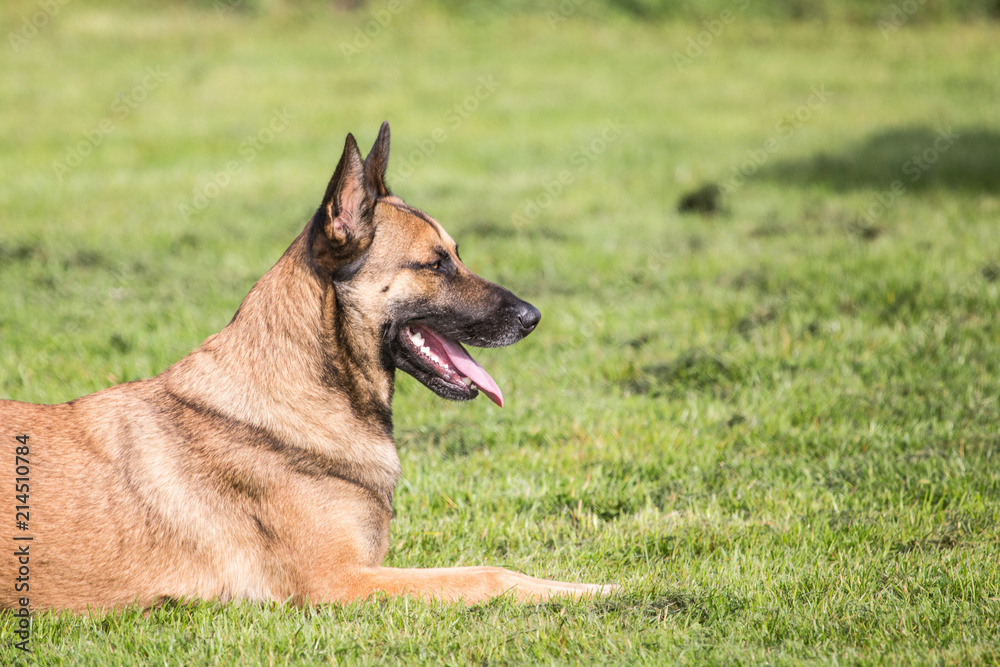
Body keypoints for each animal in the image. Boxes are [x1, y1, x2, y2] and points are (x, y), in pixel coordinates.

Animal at [1, 122, 616, 612]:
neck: (306, 394)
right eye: (435, 264)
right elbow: (489, 574)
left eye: (457, 255)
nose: (533, 317)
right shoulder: (338, 583)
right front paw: (602, 589)